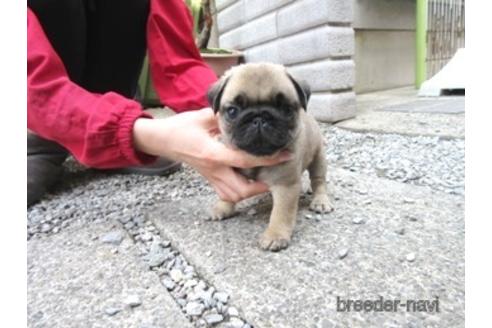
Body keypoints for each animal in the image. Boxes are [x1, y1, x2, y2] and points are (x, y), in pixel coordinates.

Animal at [206, 62, 332, 251]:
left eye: (286, 109)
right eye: (233, 111)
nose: (259, 118)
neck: (258, 157)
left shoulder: (285, 186)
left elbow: (280, 214)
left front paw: (275, 235)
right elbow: (227, 194)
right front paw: (222, 208)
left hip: (318, 158)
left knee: (319, 181)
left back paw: (320, 200)